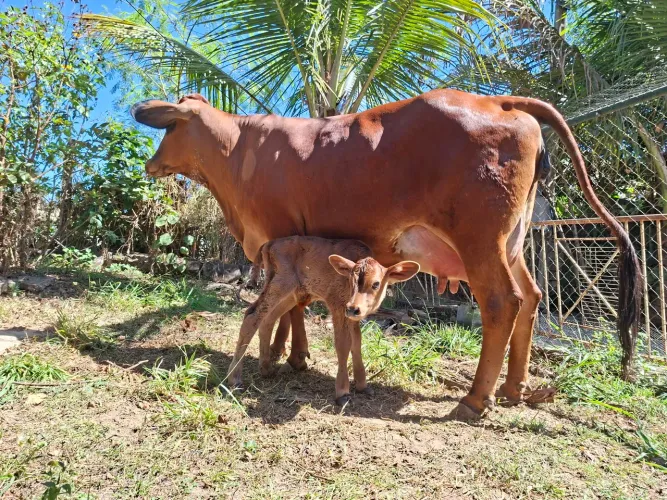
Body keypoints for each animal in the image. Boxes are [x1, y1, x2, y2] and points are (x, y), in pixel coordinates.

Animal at [226, 235, 419, 405]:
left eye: (376, 284)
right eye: (350, 281)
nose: (353, 308)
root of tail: (269, 243)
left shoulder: (353, 317)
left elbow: (357, 342)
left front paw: (363, 386)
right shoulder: (338, 306)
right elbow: (343, 344)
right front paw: (342, 393)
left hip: (291, 292)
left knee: (267, 319)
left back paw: (266, 369)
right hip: (281, 284)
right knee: (252, 315)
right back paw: (234, 379)